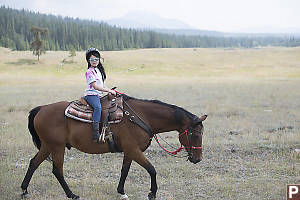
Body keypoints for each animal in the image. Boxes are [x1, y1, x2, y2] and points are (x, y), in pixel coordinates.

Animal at [20, 94, 206, 199]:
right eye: (195, 134)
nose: (198, 159)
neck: (142, 116)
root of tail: (41, 109)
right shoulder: (134, 150)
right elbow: (152, 169)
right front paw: (152, 193)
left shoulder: (129, 151)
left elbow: (125, 170)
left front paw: (121, 191)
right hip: (57, 147)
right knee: (57, 170)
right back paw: (71, 194)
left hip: (47, 145)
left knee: (33, 163)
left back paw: (24, 190)